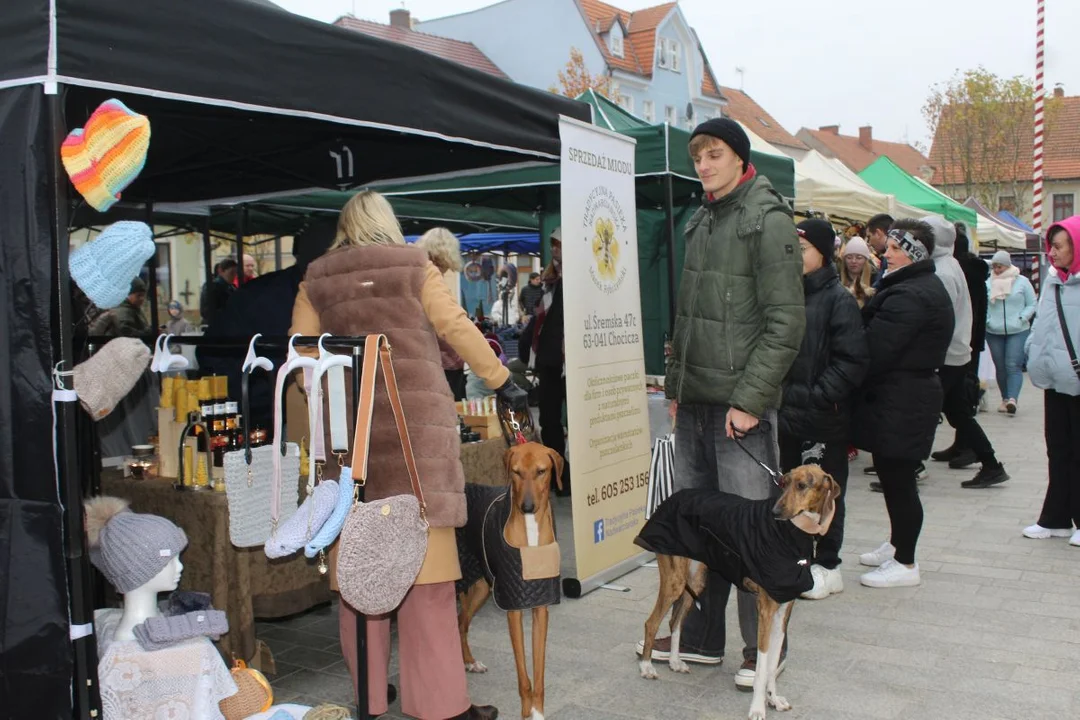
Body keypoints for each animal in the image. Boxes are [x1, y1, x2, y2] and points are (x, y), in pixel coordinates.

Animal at [453, 442, 561, 720]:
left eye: (541, 471)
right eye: (516, 472)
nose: (527, 507)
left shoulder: (540, 607)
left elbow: (538, 673)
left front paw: (537, 711)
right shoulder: (513, 609)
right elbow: (524, 675)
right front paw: (526, 712)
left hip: (482, 587)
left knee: (461, 623)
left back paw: (469, 661)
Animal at [635, 464, 838, 716]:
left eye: (801, 485)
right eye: (783, 483)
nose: (775, 511)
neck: (791, 533)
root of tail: (672, 497)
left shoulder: (782, 611)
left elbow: (772, 664)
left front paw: (774, 699)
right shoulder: (766, 610)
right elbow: (762, 667)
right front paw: (758, 708)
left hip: (695, 580)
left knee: (675, 622)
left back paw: (674, 662)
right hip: (675, 580)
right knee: (651, 622)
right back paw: (646, 667)